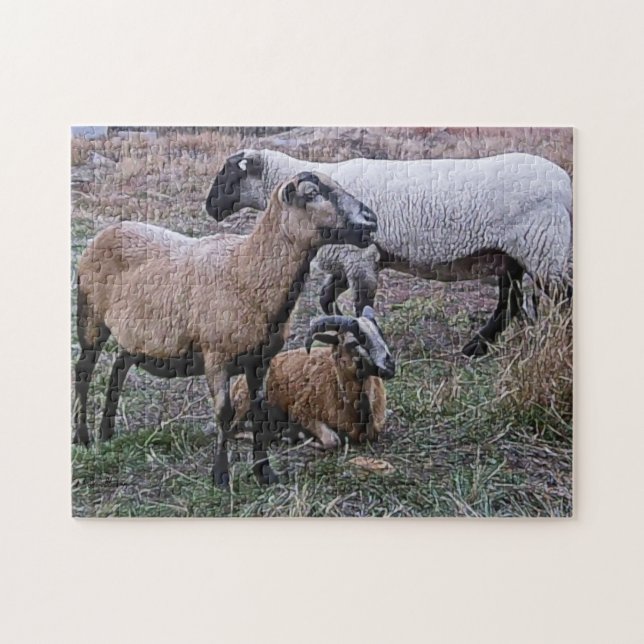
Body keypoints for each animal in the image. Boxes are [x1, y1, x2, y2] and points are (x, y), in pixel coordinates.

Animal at [73, 171, 378, 485]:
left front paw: (264, 472)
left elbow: (258, 411)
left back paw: (107, 432)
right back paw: (82, 437)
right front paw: (220, 476)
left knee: (118, 368)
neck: (246, 271)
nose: (371, 220)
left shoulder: (260, 360)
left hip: (138, 336)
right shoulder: (216, 356)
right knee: (83, 370)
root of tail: (109, 230)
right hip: (90, 316)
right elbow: (224, 412)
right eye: (311, 194)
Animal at [205, 148, 572, 356]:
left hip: (543, 247)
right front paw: (337, 331)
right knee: (509, 301)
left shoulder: (360, 259)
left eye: (229, 172)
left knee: (562, 297)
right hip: (513, 253)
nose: (210, 208)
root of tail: (565, 183)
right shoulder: (349, 259)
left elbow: (361, 304)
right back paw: (476, 347)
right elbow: (326, 298)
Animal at [230, 306, 395, 450]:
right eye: (353, 342)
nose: (390, 367)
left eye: (380, 334)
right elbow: (332, 440)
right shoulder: (300, 411)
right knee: (234, 429)